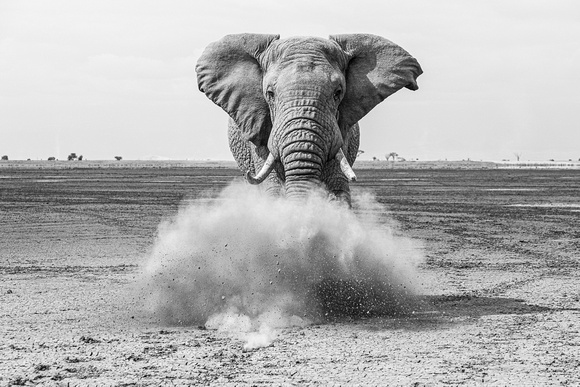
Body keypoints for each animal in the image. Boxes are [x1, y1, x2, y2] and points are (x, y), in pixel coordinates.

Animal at [195, 33, 422, 206]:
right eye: (270, 94)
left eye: (338, 93)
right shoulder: (259, 128)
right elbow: (273, 189)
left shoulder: (341, 128)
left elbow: (338, 191)